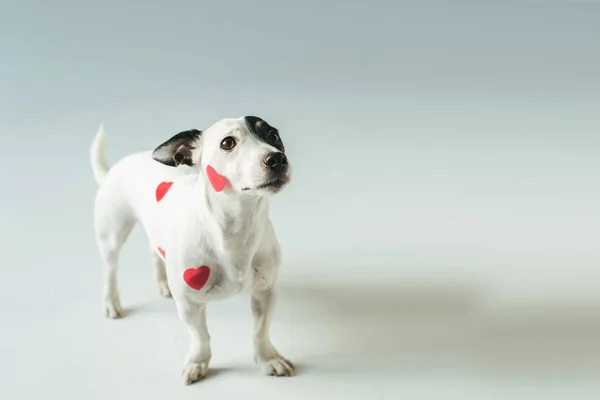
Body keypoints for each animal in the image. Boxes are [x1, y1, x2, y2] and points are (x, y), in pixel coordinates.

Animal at [90, 115, 294, 384]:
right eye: (227, 143)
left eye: (273, 135)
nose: (277, 159)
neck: (236, 228)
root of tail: (116, 167)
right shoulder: (189, 304)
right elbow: (200, 336)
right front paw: (198, 362)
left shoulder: (266, 292)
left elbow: (260, 331)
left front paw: (267, 358)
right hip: (112, 235)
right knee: (110, 269)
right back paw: (111, 301)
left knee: (155, 252)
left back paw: (163, 283)